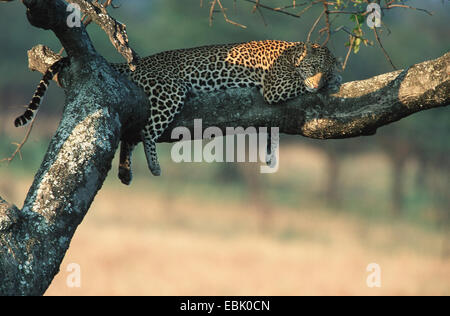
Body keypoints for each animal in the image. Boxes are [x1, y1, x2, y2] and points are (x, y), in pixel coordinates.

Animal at [15, 39, 342, 184]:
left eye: (323, 70)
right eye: (313, 68)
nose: (320, 82)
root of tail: (142, 62)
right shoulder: (275, 86)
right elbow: (296, 85)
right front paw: (329, 84)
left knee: (131, 136)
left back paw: (125, 172)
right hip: (169, 92)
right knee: (145, 132)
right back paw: (152, 165)